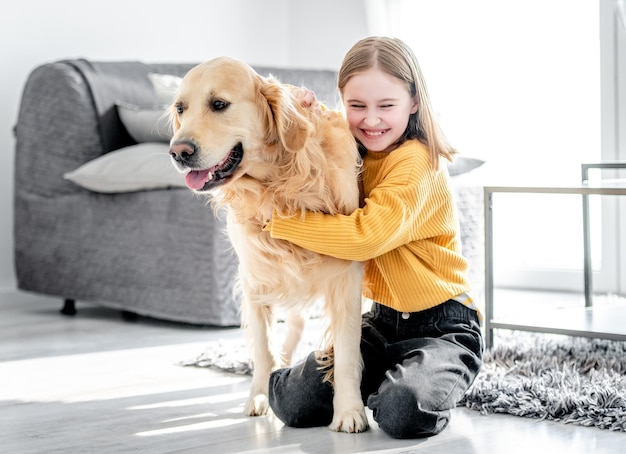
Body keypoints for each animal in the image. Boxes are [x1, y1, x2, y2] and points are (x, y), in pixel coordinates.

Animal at [168, 56, 368, 432]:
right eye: (180, 108)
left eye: (219, 104)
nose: (178, 152)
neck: (277, 188)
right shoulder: (255, 278)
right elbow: (262, 347)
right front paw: (260, 396)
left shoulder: (345, 276)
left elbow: (348, 350)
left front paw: (349, 411)